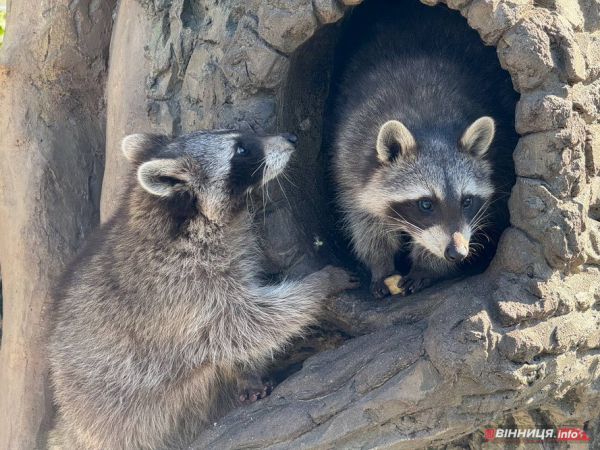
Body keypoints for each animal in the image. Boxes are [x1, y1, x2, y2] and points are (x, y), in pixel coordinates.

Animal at [49, 128, 358, 448]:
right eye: (241, 150)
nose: (291, 139)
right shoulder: (182, 289)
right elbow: (245, 323)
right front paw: (319, 285)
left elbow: (242, 332)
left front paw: (248, 370)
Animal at [330, 0, 516, 298]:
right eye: (425, 204)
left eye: (466, 201)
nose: (457, 253)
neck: (430, 122)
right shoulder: (350, 154)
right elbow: (364, 219)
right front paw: (379, 263)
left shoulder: (501, 156)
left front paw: (428, 266)